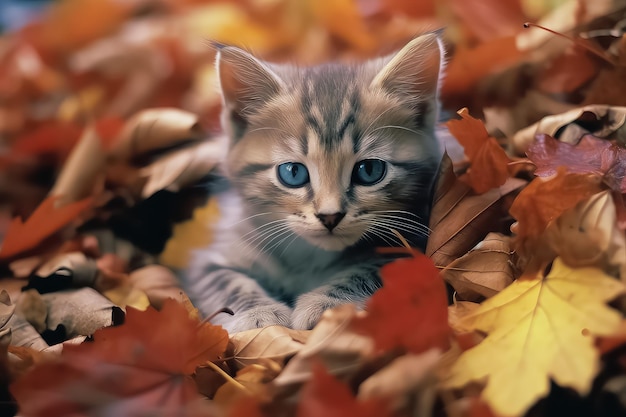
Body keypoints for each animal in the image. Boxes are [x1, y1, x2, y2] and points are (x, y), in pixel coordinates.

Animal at [182, 31, 444, 332]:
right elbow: (226, 281)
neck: (310, 257)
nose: (330, 216)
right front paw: (258, 313)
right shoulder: (211, 257)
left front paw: (327, 304)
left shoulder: (409, 247)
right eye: (293, 173)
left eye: (369, 170)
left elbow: (367, 270)